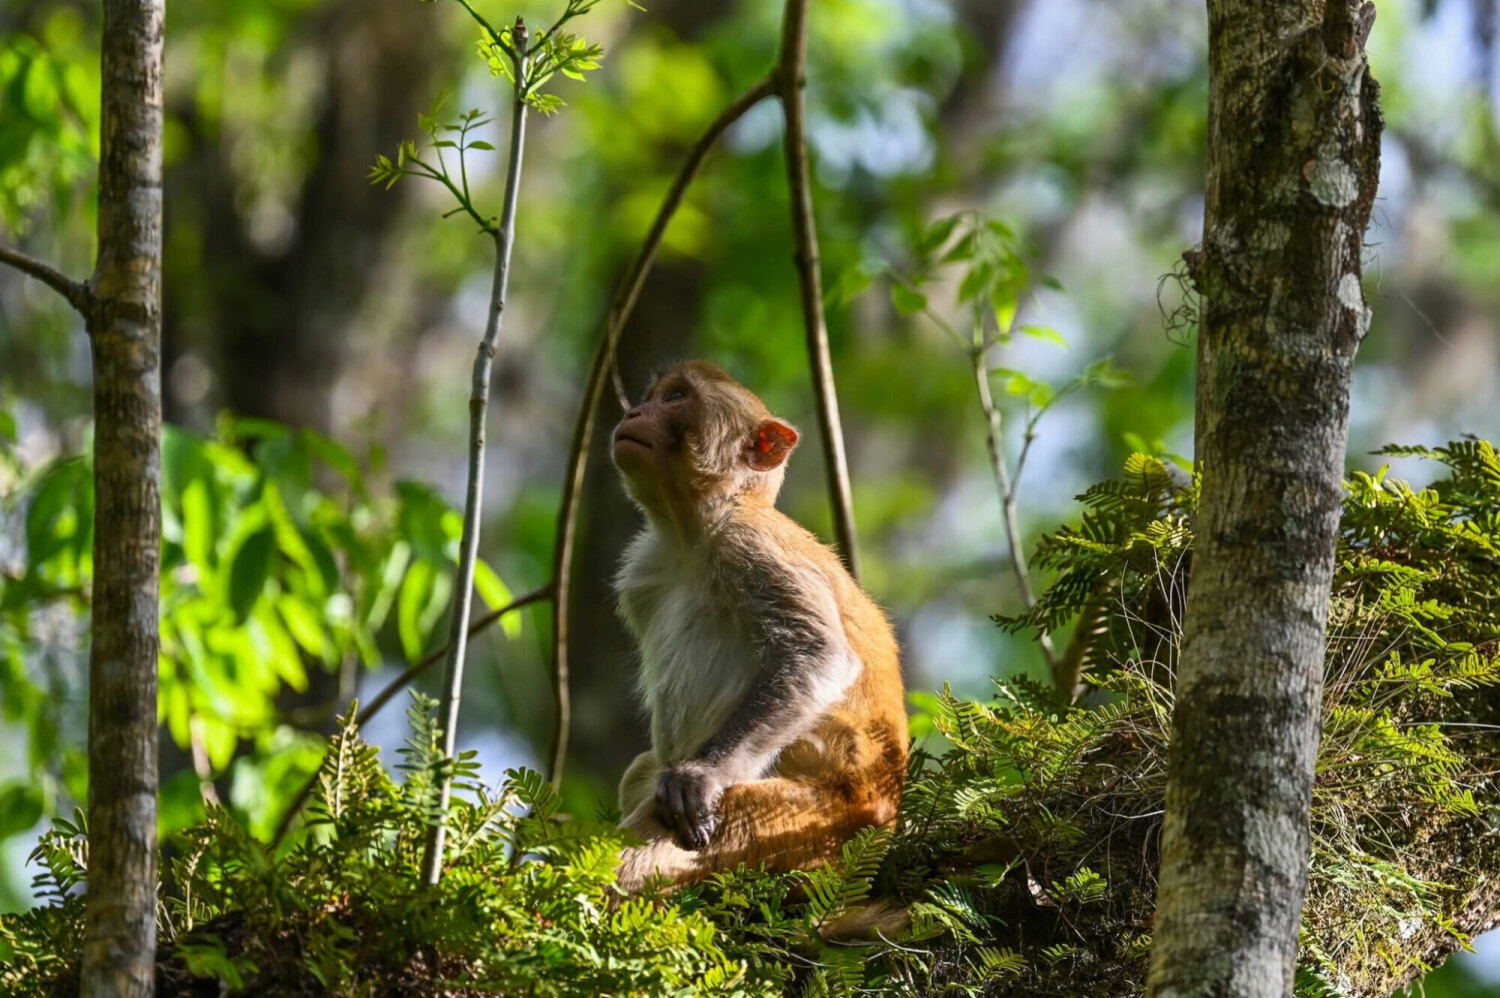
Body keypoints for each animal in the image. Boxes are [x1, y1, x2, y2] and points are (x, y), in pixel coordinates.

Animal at [608, 360, 907, 891]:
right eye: (653, 397)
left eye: (676, 397)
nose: (633, 413)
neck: (692, 533)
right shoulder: (642, 571)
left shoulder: (750, 544)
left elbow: (819, 654)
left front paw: (700, 777)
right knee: (642, 771)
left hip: (805, 824)